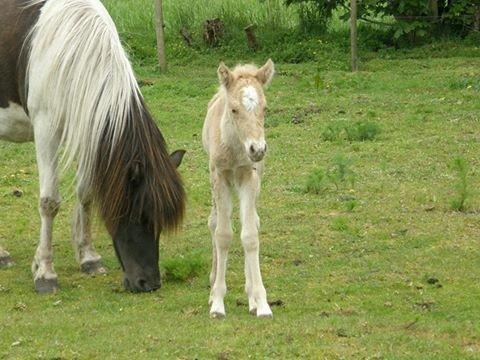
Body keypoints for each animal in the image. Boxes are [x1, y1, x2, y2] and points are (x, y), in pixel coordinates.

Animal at [0, 0, 186, 292]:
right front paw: (45, 273)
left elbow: (86, 192)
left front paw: (88, 258)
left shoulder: (88, 128)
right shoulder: (46, 131)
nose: (149, 283)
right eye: (139, 215)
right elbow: (49, 202)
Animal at [202, 59, 276, 318]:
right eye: (234, 109)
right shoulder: (220, 176)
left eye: (265, 108)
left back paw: (251, 295)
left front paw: (261, 303)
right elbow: (223, 234)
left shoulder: (248, 176)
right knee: (214, 223)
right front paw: (217, 303)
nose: (258, 149)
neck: (235, 148)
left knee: (251, 222)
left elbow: (250, 235)